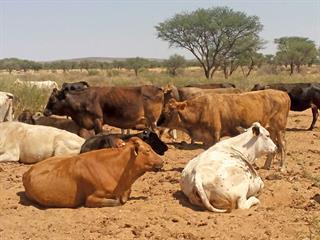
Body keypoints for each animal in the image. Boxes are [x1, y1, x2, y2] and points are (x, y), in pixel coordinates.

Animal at [159, 89, 292, 172]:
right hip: (272, 129)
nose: (157, 123)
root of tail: (283, 93)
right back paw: (266, 166)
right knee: (274, 146)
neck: (201, 109)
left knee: (283, 145)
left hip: (280, 129)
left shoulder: (215, 136)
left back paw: (282, 167)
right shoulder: (206, 139)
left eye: (168, 111)